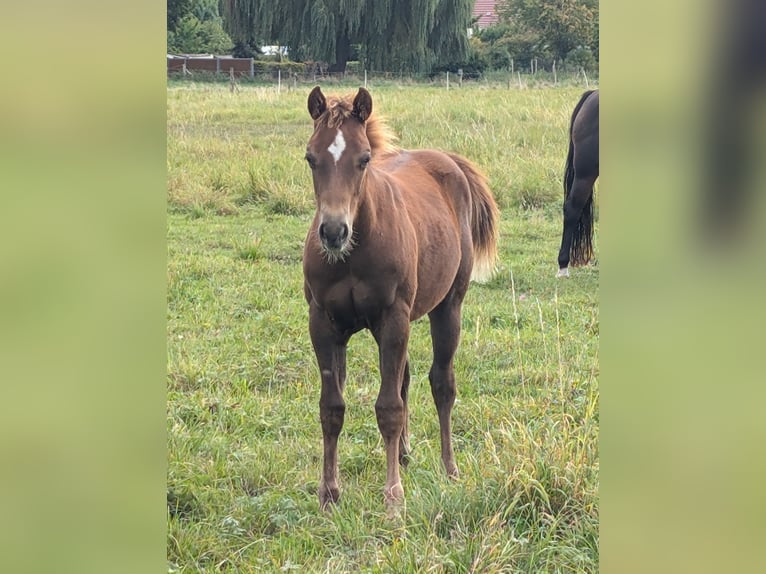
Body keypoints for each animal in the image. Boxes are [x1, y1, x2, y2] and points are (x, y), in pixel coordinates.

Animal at [302, 86, 499, 511]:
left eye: (363, 159)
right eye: (311, 158)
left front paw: (393, 497)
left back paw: (449, 468)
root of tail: (449, 161)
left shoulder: (392, 318)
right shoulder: (322, 322)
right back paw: (406, 454)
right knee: (405, 378)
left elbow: (388, 408)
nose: (333, 232)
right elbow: (332, 407)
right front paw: (329, 493)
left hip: (447, 307)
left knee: (442, 383)